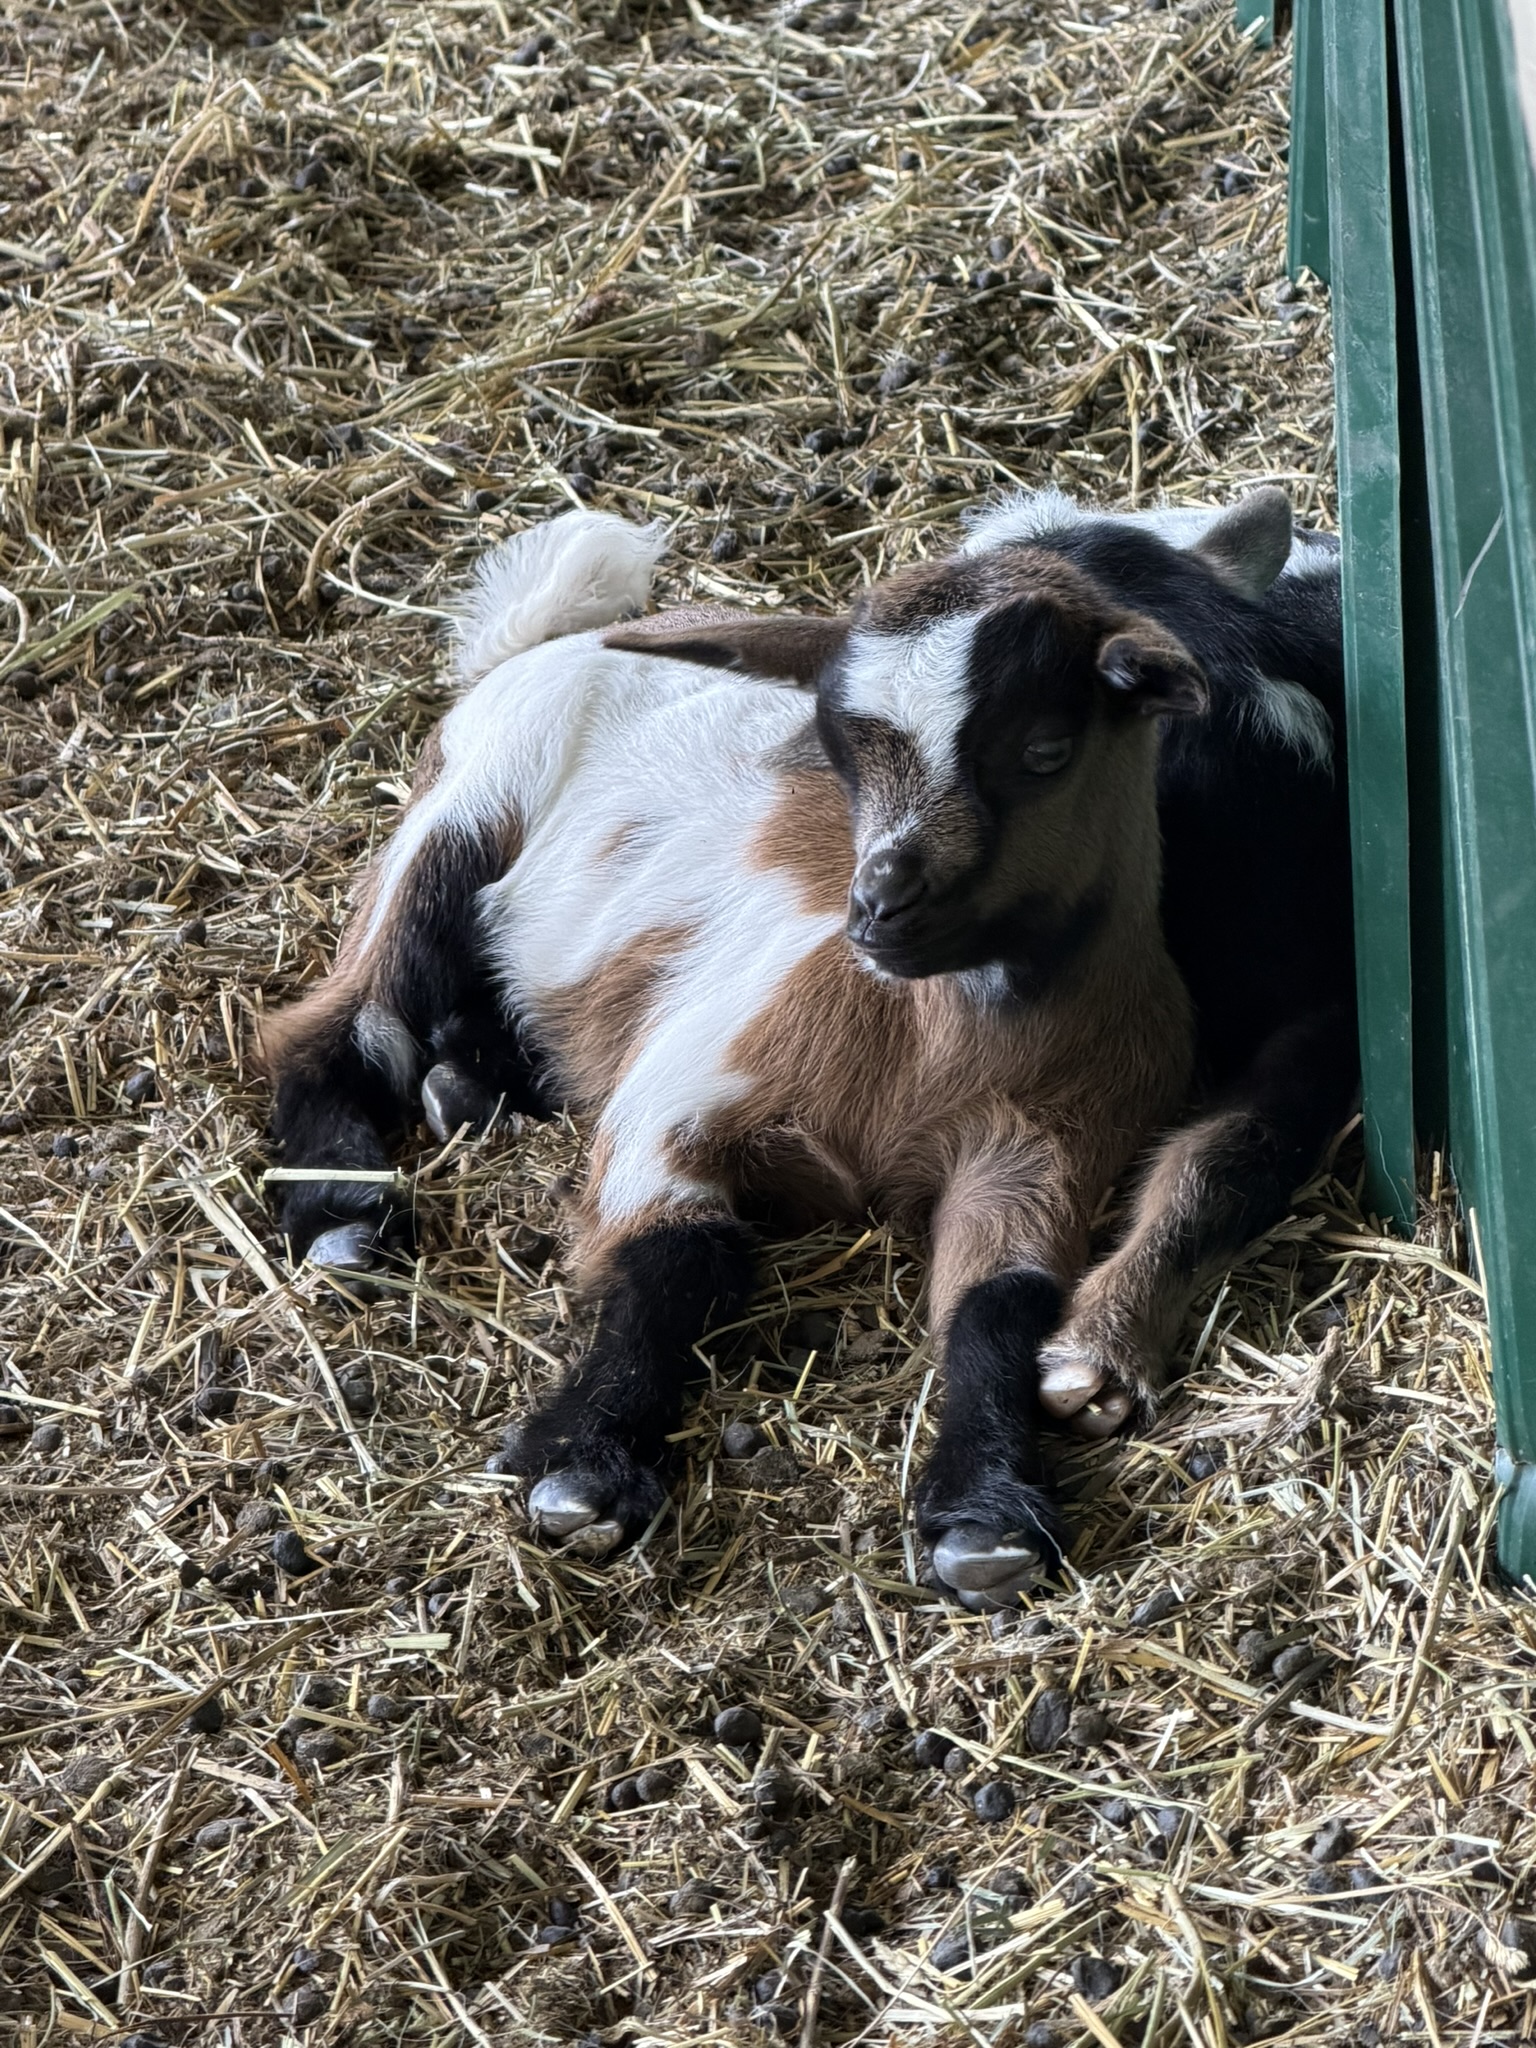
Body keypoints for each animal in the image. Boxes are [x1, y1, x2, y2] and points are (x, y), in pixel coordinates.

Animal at [262, 491, 1354, 1609]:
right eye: (835, 746)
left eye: (1047, 746)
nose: (877, 908)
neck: (929, 1043)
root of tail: (546, 641)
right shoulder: (680, 1094)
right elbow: (682, 1254)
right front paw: (584, 1466)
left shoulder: (1045, 1147)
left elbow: (1002, 1303)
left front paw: (985, 1513)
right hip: (466, 813)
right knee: (340, 1021)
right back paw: (341, 1211)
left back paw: (467, 1082)